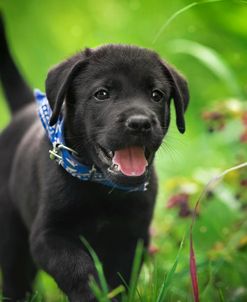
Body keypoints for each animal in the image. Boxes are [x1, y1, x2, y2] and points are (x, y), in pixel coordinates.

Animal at [0, 15, 189, 302]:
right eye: (102, 93)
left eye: (156, 95)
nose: (140, 123)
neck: (100, 187)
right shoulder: (48, 235)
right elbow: (78, 268)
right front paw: (92, 293)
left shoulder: (133, 237)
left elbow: (118, 279)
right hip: (12, 238)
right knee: (15, 280)